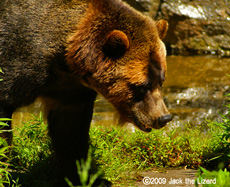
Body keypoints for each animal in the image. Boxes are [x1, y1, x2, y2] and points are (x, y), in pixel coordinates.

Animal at [0, 0, 172, 186]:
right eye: (141, 86)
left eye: (161, 81)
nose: (163, 117)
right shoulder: (18, 56)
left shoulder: (71, 90)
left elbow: (70, 130)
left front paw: (90, 178)